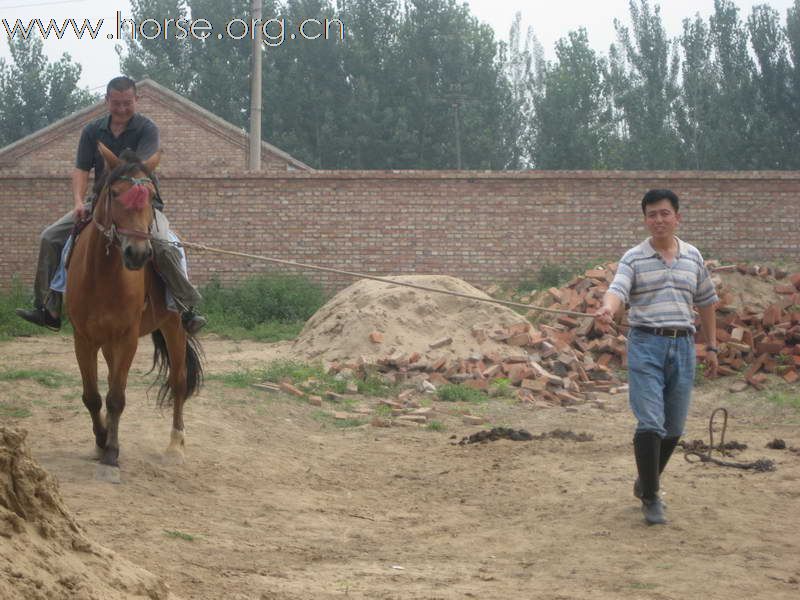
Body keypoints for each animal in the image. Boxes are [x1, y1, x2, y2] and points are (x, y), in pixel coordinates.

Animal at [66, 143, 203, 476]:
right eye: (115, 193)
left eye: (152, 197)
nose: (138, 253)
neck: (102, 276)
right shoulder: (83, 339)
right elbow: (92, 396)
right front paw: (101, 440)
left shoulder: (127, 338)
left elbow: (116, 398)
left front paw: (112, 452)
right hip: (107, 343)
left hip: (173, 326)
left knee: (178, 382)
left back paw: (175, 446)